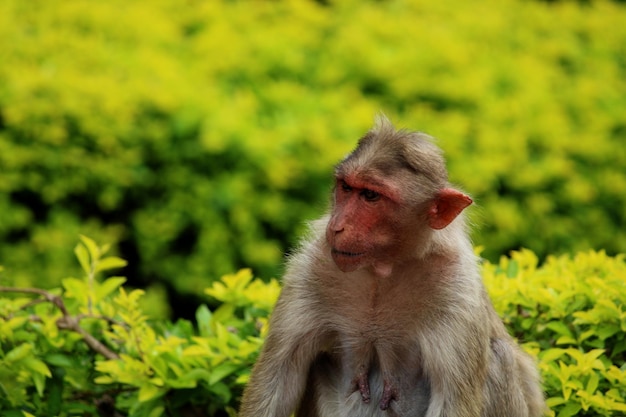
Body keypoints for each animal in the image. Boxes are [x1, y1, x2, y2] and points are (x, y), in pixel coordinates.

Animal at [236, 115, 544, 416]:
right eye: (346, 187)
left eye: (371, 196)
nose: (336, 226)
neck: (383, 269)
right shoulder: (310, 266)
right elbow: (279, 378)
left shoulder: (458, 289)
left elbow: (454, 401)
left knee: (499, 357)